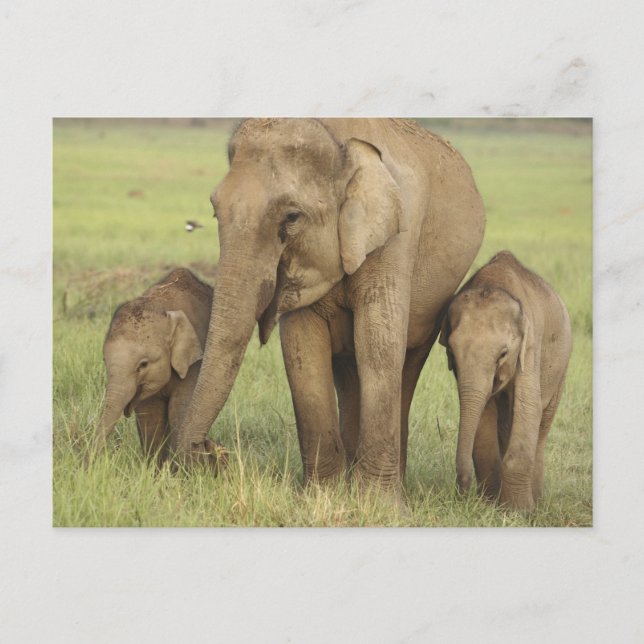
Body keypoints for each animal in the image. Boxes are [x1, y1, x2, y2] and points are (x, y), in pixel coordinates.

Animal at [94, 267, 225, 468]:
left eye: (143, 364)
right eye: (104, 361)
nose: (87, 465)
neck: (161, 306)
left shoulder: (195, 362)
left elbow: (180, 408)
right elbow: (150, 415)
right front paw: (155, 471)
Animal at [174, 118, 485, 499]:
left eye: (292, 217)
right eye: (215, 211)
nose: (212, 452)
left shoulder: (396, 238)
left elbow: (378, 346)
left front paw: (378, 505)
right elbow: (302, 350)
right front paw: (320, 497)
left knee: (406, 364)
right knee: (349, 373)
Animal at [439, 251, 572, 512]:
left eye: (503, 354)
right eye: (451, 352)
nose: (461, 493)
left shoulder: (530, 348)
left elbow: (529, 407)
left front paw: (518, 513)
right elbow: (482, 412)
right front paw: (490, 507)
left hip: (561, 368)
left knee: (542, 424)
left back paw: (536, 501)